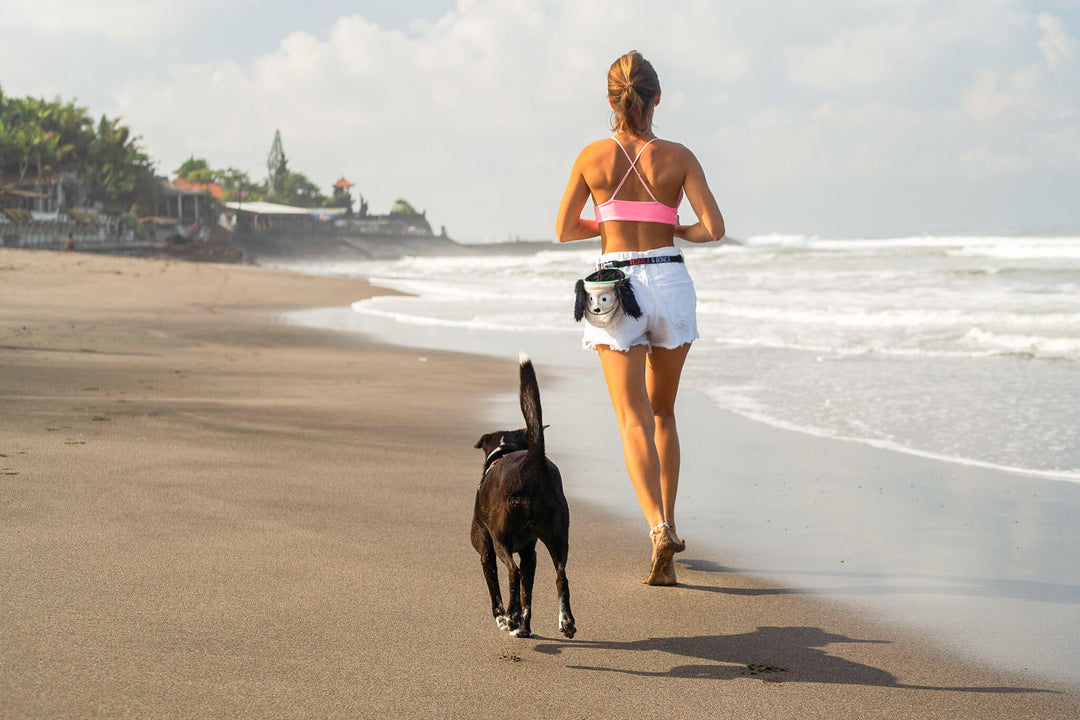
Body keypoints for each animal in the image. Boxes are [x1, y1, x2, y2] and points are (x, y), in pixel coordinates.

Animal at [470, 351, 574, 639]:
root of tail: (531, 463)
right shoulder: (531, 553)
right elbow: (529, 593)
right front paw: (523, 627)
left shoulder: (485, 548)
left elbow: (495, 586)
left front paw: (505, 619)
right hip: (558, 535)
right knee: (561, 575)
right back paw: (565, 622)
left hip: (500, 538)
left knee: (512, 572)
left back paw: (511, 616)